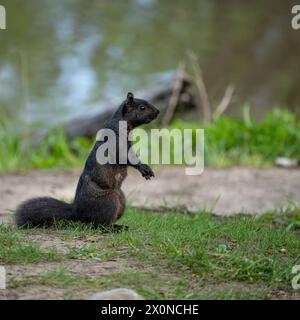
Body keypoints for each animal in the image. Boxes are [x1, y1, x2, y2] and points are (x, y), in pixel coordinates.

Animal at [14, 92, 159, 230]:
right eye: (142, 107)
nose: (158, 111)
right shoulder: (116, 144)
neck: (122, 124)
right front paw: (144, 168)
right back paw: (115, 228)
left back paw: (119, 225)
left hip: (121, 199)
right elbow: (126, 157)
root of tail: (77, 212)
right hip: (108, 201)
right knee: (99, 225)